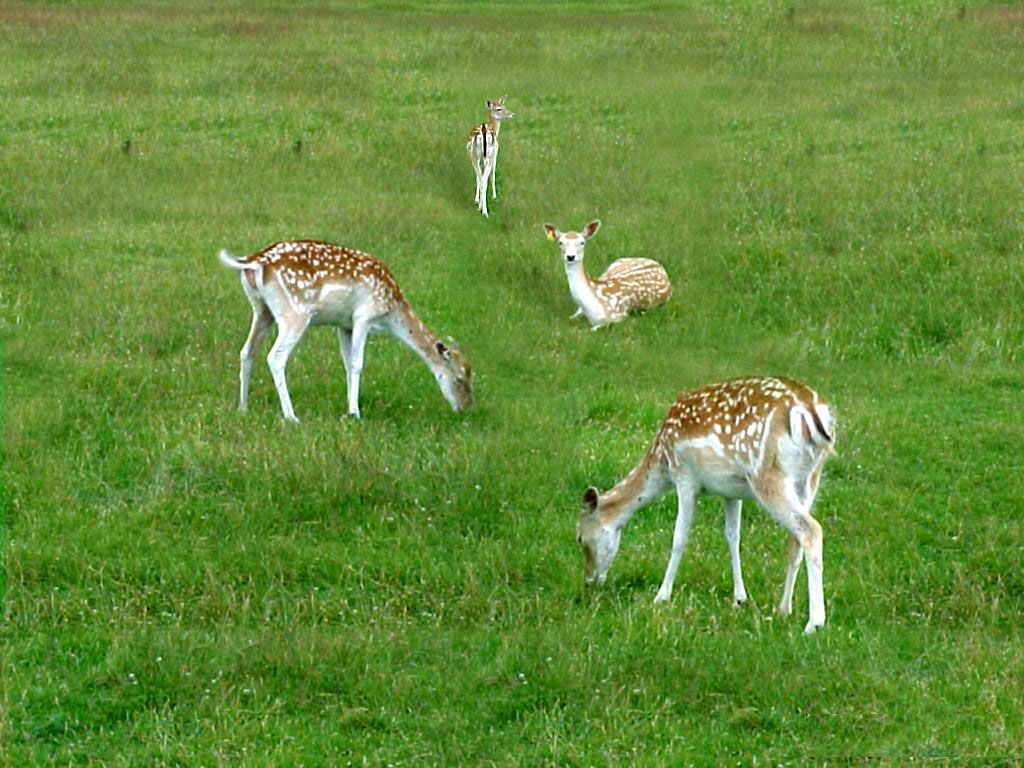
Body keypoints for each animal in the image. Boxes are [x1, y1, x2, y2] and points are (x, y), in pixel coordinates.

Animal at [218, 239, 473, 421]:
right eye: (460, 379)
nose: (465, 408)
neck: (391, 310)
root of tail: (254, 261)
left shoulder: (344, 325)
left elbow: (347, 363)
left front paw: (349, 408)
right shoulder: (364, 316)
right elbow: (357, 364)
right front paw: (355, 413)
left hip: (262, 310)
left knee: (247, 351)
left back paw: (243, 408)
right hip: (295, 312)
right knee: (275, 357)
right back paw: (291, 417)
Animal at [540, 221, 675, 331]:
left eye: (582, 242)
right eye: (560, 242)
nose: (570, 257)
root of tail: (657, 264)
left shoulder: (619, 316)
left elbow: (594, 329)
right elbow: (570, 317)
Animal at [573, 376, 835, 634]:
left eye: (579, 538)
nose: (589, 581)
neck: (661, 462)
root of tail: (811, 410)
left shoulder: (685, 478)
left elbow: (679, 538)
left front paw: (661, 596)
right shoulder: (730, 491)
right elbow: (733, 537)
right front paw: (739, 598)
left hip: (767, 475)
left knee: (811, 530)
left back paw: (814, 623)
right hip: (809, 479)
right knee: (795, 540)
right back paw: (783, 609)